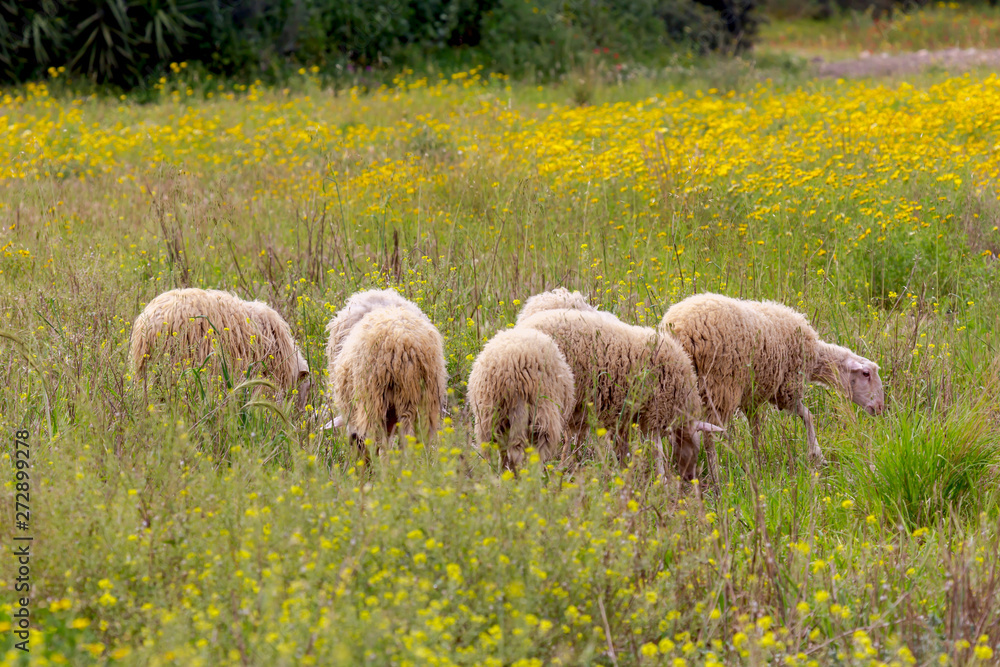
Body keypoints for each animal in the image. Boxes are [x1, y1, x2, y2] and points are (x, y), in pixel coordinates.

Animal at [467, 328, 575, 471]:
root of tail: (513, 373)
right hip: (541, 410)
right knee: (531, 450)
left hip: (491, 416)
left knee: (496, 448)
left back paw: (501, 472)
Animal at [518, 308, 721, 478]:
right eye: (694, 448)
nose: (690, 478)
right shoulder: (655, 412)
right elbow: (657, 451)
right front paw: (661, 481)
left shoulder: (628, 417)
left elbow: (624, 448)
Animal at [659, 292, 885, 468]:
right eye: (866, 374)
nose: (880, 408)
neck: (814, 356)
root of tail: (679, 328)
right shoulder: (787, 388)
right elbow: (808, 415)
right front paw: (816, 455)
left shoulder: (753, 395)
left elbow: (755, 428)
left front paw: (758, 460)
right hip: (720, 388)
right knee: (709, 438)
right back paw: (716, 476)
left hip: (678, 388)